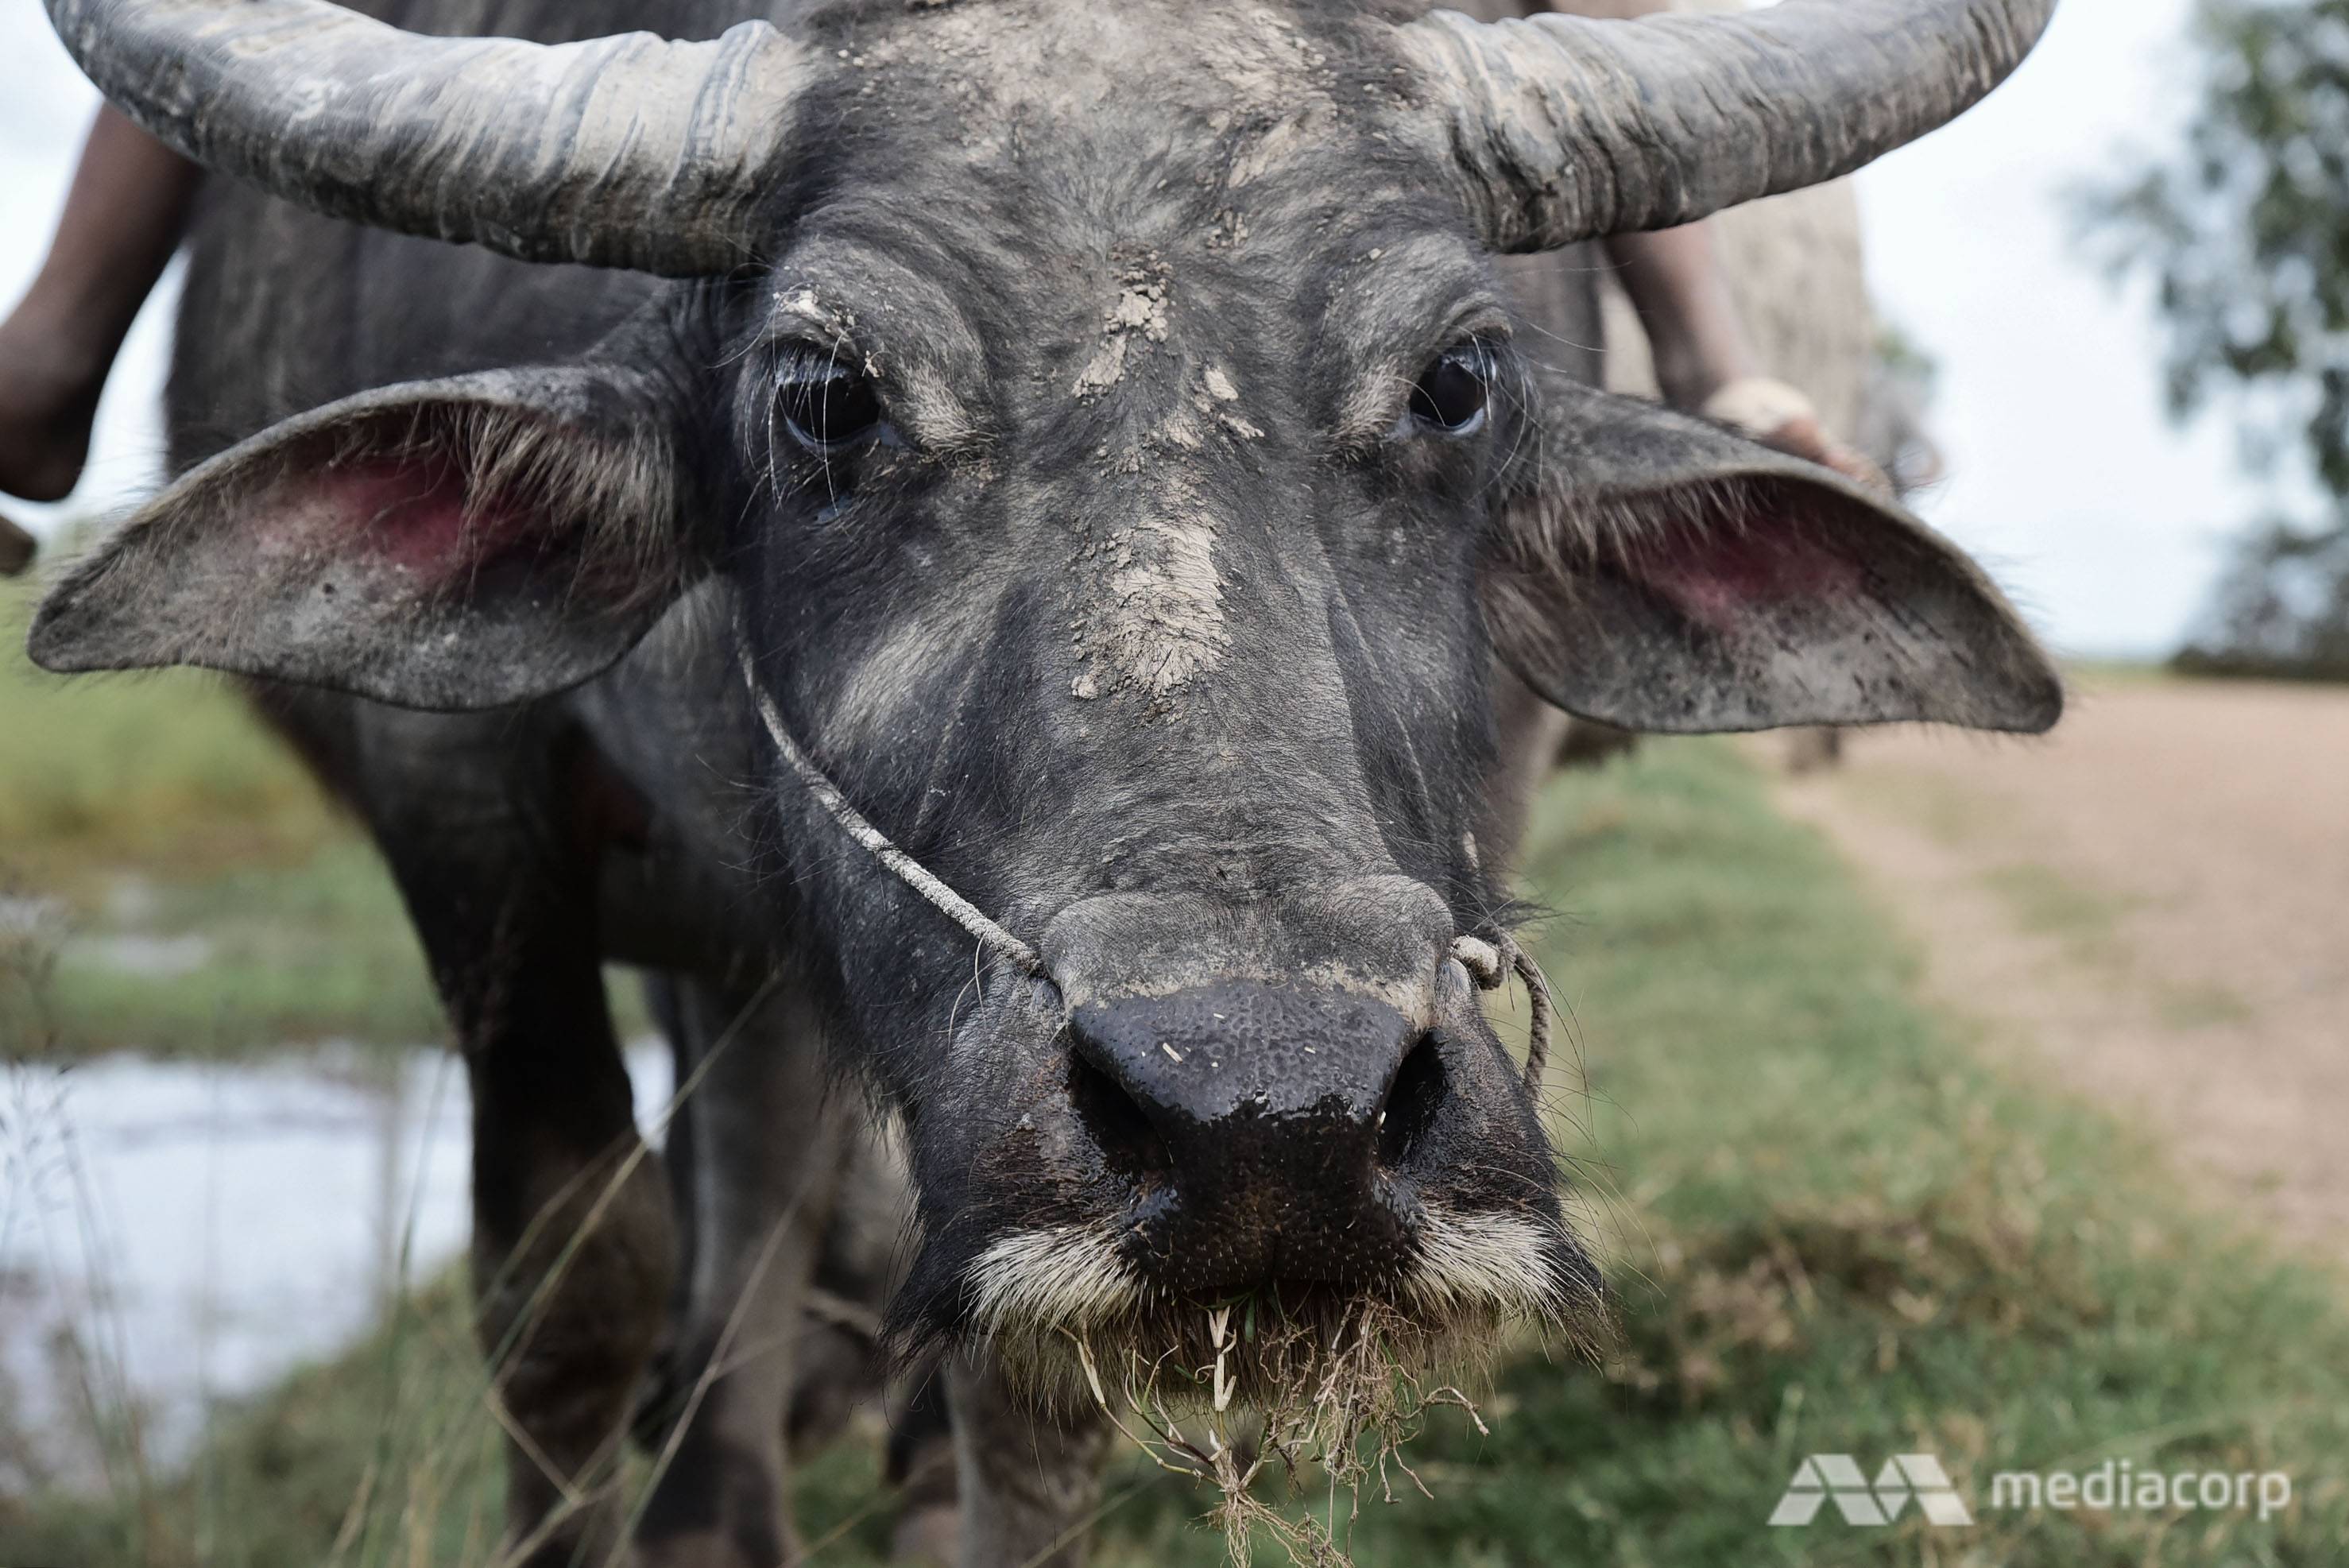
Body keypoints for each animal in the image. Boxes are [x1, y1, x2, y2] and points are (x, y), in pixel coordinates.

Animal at [32, 0, 2057, 1561]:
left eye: (1462, 379)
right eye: (822, 397)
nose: (1271, 1115)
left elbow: (1022, 1389)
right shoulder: (459, 800)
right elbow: (575, 1271)